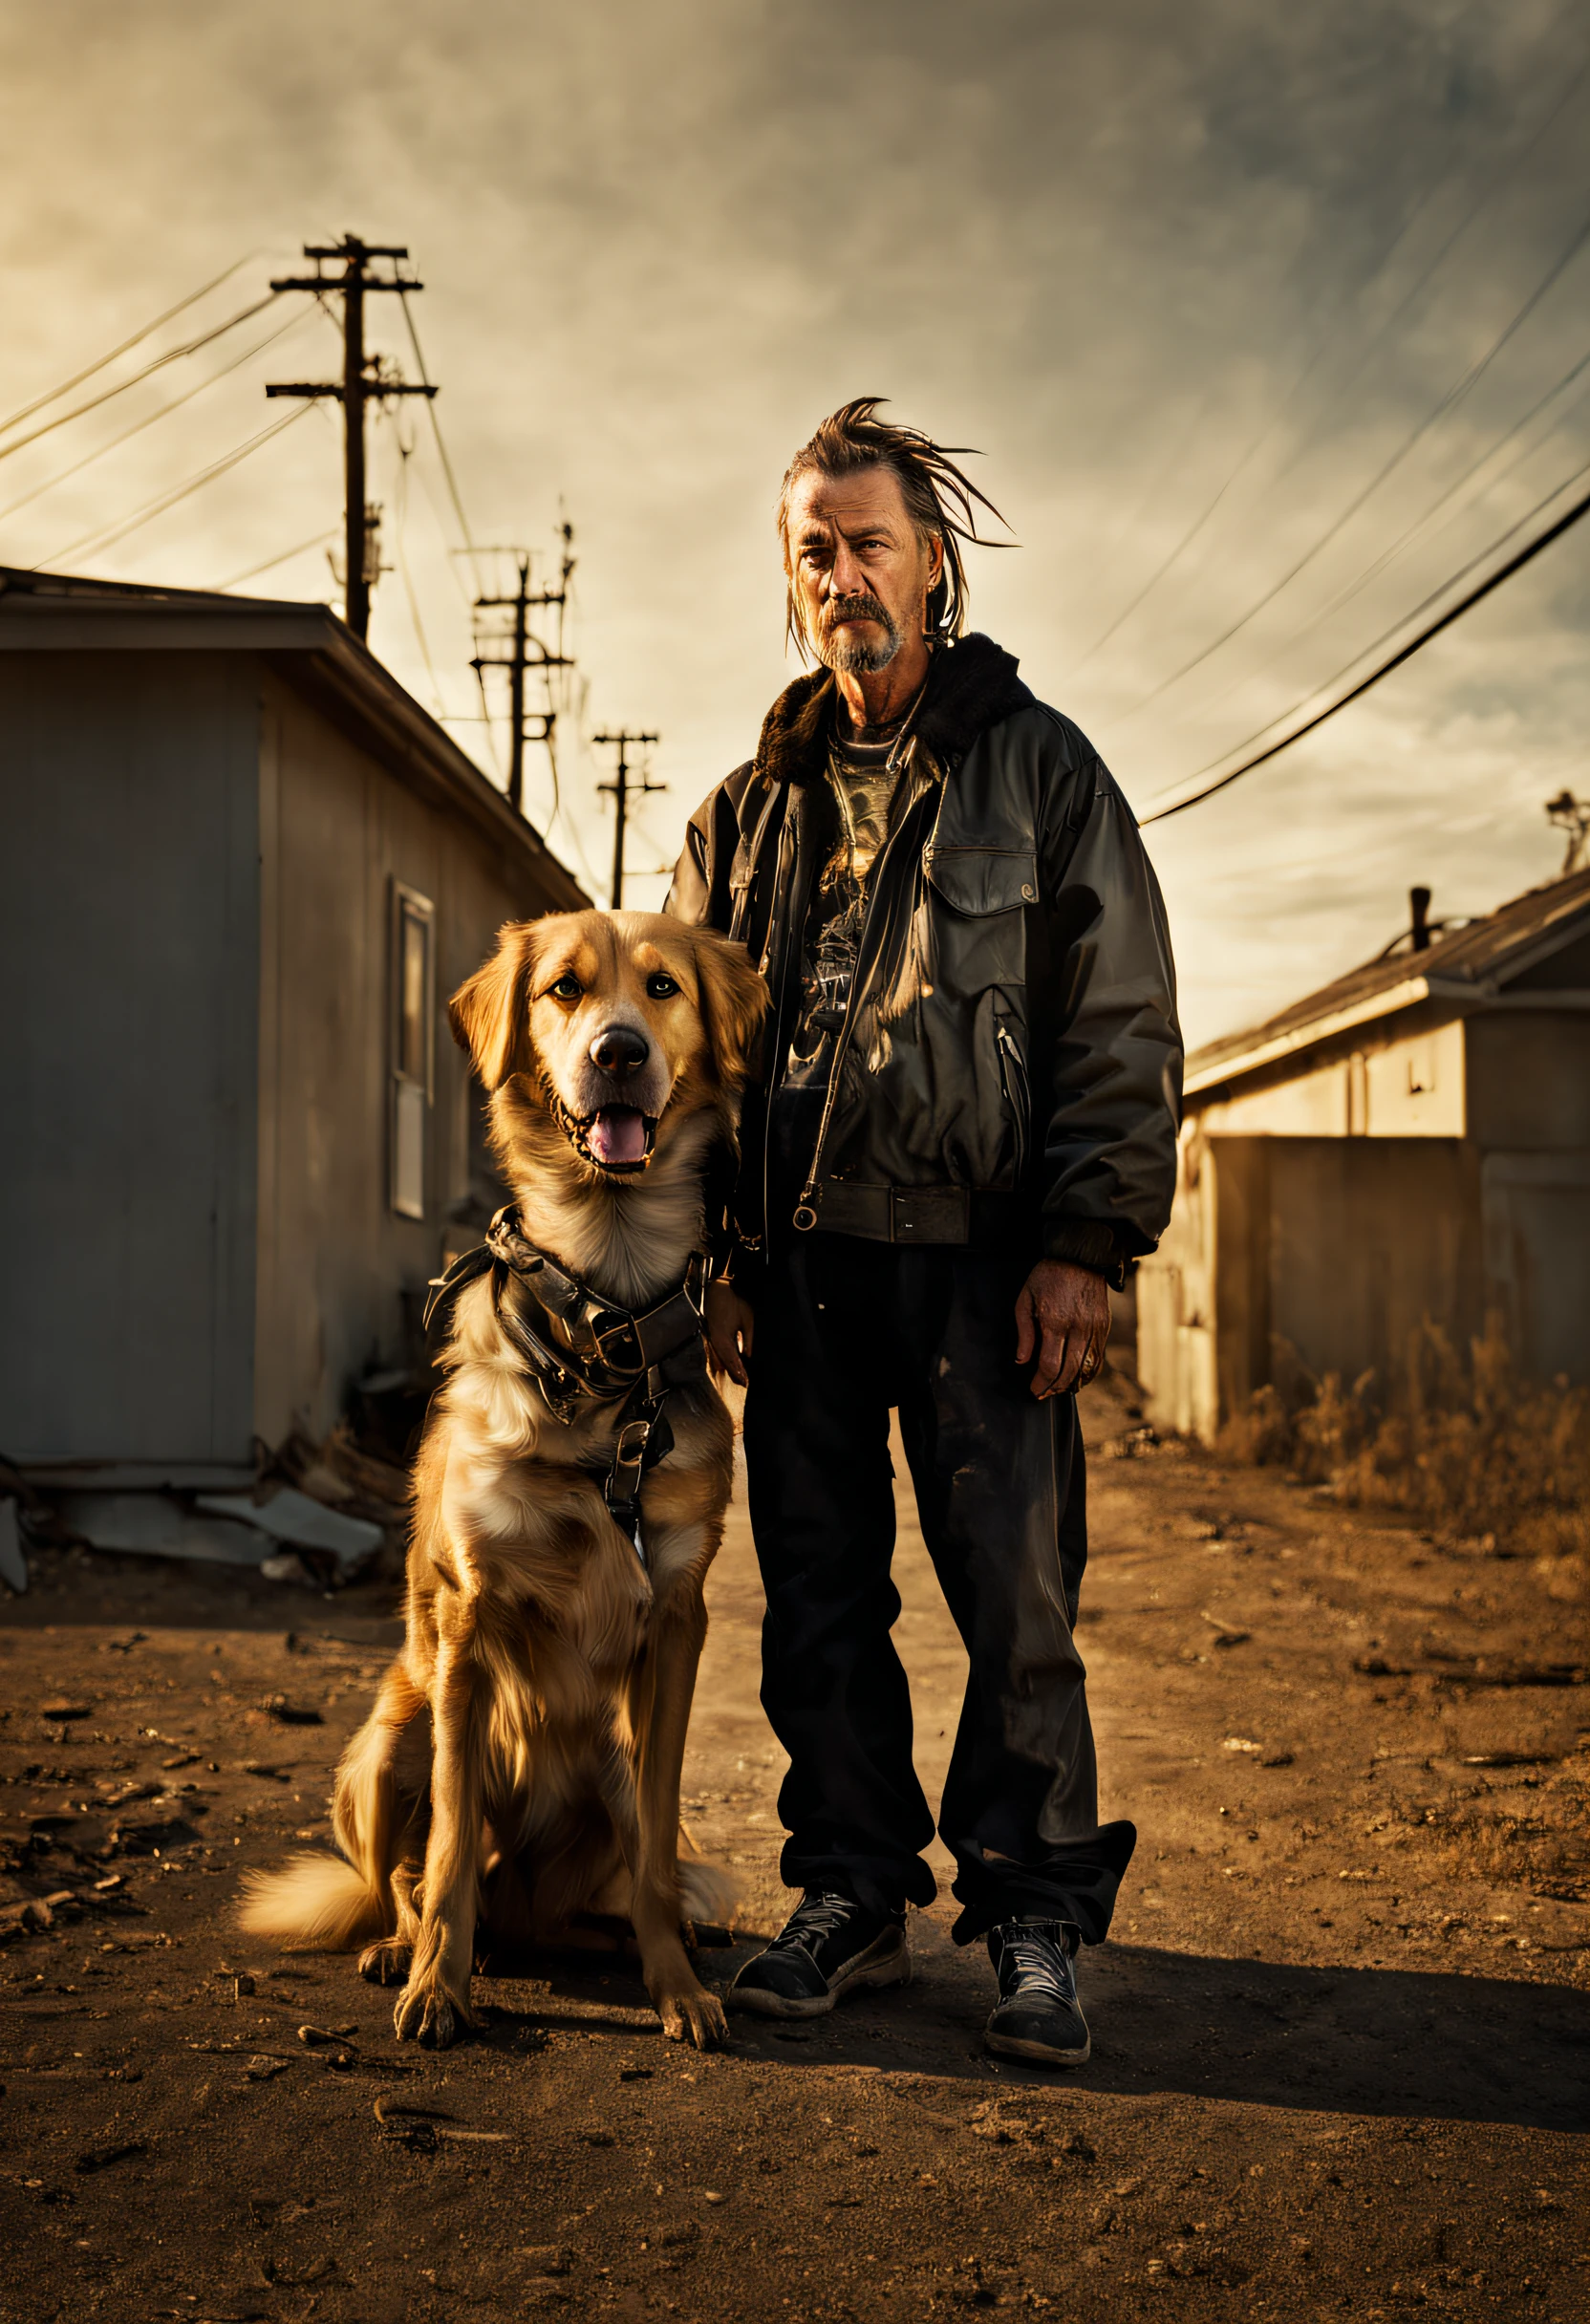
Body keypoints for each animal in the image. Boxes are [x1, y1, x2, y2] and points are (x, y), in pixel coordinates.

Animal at [239, 906, 771, 2054]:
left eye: (662, 987)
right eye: (563, 989)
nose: (618, 1053)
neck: (603, 1343)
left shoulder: (677, 1619)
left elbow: (660, 1850)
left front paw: (677, 1987)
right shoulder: (467, 1621)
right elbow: (444, 1851)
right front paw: (438, 1987)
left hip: (606, 1774)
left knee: (594, 1889)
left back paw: (627, 1942)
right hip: (386, 1737)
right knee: (401, 1878)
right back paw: (407, 1948)